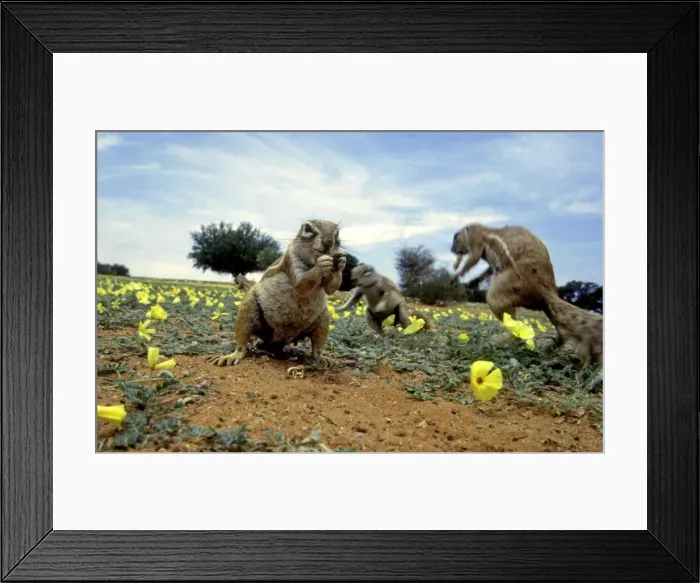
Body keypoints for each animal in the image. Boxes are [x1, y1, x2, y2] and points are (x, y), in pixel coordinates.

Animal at [208, 220, 346, 367]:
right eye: (308, 228)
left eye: (338, 233)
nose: (328, 241)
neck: (311, 262)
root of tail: (277, 341)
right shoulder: (290, 259)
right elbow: (301, 283)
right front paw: (322, 264)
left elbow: (331, 288)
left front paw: (341, 262)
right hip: (248, 309)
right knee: (242, 342)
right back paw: (232, 356)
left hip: (323, 319)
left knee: (316, 348)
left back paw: (321, 358)